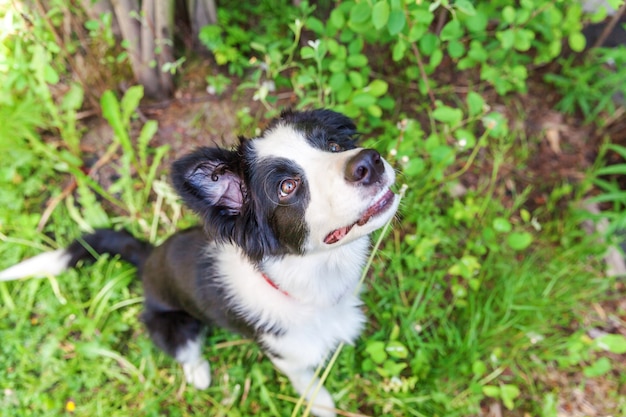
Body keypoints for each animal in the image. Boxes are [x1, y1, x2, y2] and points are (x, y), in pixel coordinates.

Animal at [0, 108, 398, 416]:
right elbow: (307, 381)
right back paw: (199, 373)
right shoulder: (287, 356)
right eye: (287, 187)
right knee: (187, 352)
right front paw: (322, 404)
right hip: (174, 326)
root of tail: (148, 257)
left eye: (334, 145)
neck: (308, 284)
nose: (369, 162)